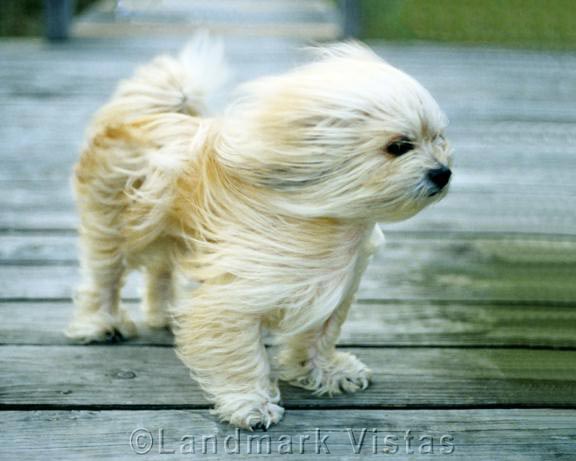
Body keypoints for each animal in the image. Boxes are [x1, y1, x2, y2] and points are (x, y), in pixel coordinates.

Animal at [65, 35, 452, 428]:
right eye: (398, 146)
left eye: (439, 138)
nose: (443, 173)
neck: (328, 221)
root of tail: (139, 116)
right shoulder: (232, 300)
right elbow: (240, 356)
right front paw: (250, 403)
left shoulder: (334, 291)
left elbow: (320, 336)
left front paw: (324, 372)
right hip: (112, 229)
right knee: (104, 279)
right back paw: (101, 324)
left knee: (160, 272)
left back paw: (164, 314)